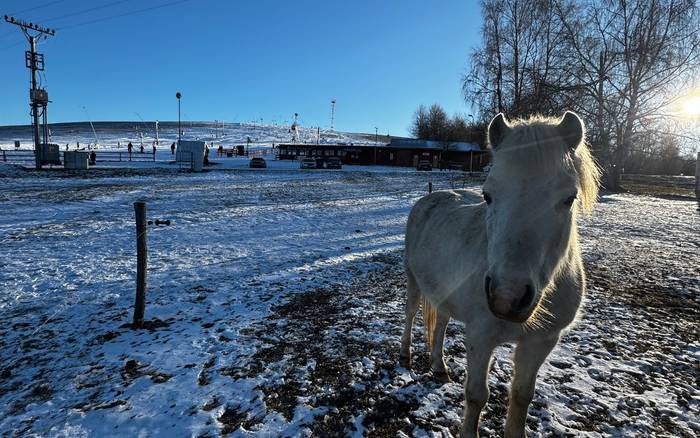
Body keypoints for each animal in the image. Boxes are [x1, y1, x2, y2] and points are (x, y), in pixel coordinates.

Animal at [402, 112, 600, 438]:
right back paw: (405, 355)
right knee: (409, 314)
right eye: (488, 195)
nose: (507, 297)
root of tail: (429, 198)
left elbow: (521, 396)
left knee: (440, 325)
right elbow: (476, 395)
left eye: (569, 198)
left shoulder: (541, 342)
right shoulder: (480, 337)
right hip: (413, 281)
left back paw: (439, 366)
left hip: (443, 293)